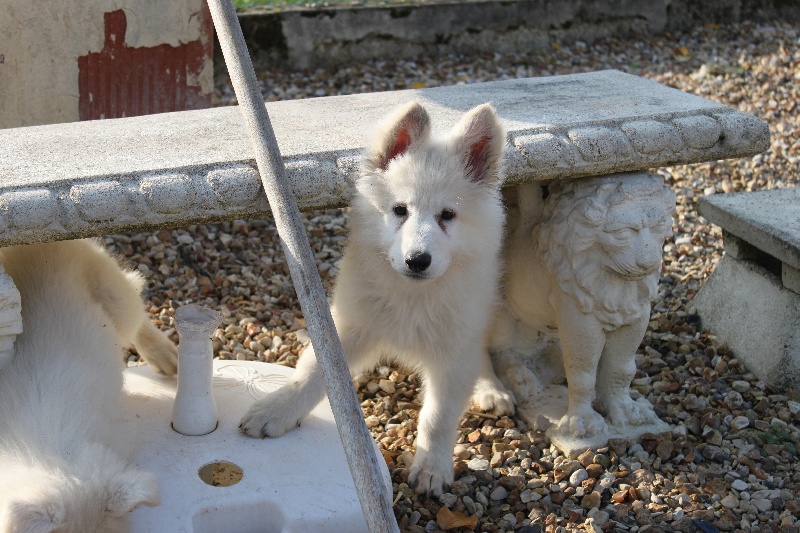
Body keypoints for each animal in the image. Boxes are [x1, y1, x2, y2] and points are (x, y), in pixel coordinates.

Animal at [239, 101, 512, 494]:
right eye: (400, 210)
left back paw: (490, 388)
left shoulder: (453, 351)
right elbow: (313, 373)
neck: (412, 295)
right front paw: (276, 410)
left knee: (481, 353)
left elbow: (439, 417)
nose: (417, 260)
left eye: (447, 215)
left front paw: (432, 467)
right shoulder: (350, 325)